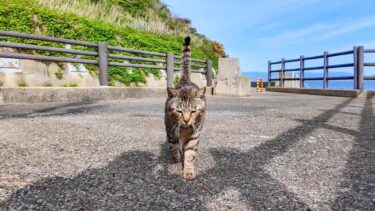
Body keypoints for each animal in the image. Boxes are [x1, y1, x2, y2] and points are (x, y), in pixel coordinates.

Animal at [164, 36, 207, 180]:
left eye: (193, 111)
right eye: (179, 111)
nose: (187, 120)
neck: (184, 129)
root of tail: (186, 80)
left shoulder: (194, 135)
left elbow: (189, 154)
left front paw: (188, 170)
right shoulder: (171, 131)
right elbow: (173, 147)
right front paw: (176, 159)